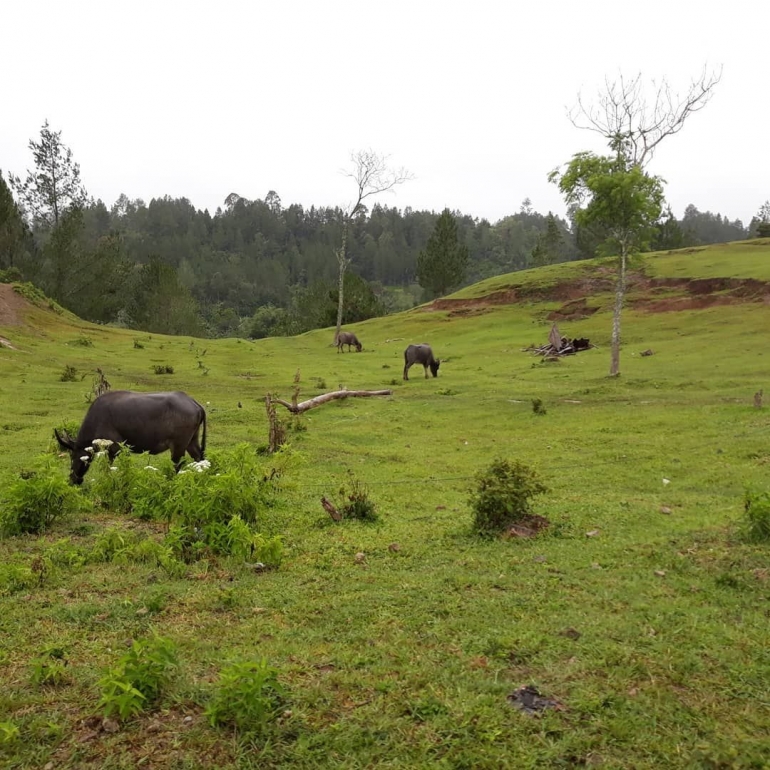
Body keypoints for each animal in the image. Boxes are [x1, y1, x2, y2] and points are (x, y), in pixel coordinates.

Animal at [53, 390, 207, 480]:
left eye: (73, 456)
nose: (72, 480)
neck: (98, 417)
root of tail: (194, 403)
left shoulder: (115, 448)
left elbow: (108, 468)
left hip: (178, 447)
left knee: (177, 465)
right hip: (192, 442)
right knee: (200, 459)